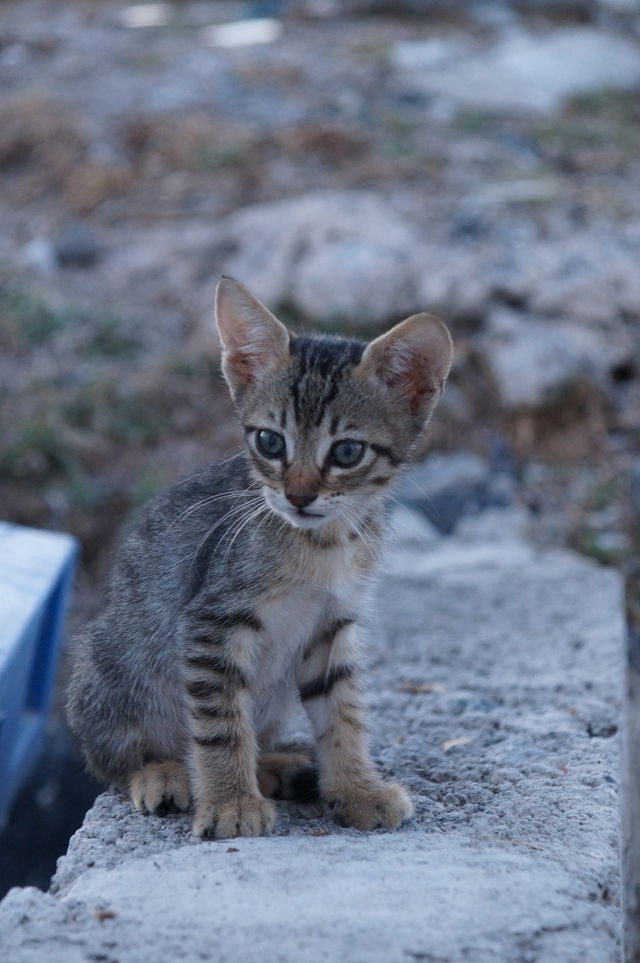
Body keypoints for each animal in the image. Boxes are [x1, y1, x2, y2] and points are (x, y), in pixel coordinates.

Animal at [67, 274, 452, 840]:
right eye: (270, 442)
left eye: (347, 452)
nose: (299, 495)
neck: (323, 544)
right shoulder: (211, 624)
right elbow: (221, 726)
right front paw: (230, 803)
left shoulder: (332, 623)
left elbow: (343, 713)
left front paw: (358, 790)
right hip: (111, 663)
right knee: (112, 759)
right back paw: (162, 772)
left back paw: (275, 764)